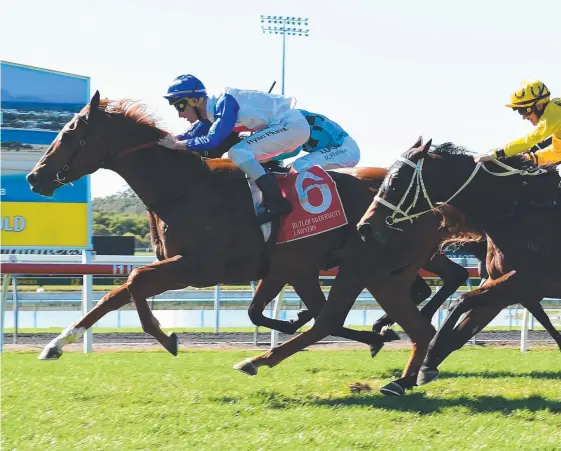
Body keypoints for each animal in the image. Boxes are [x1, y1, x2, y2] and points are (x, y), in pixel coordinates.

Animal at [358, 139, 560, 388]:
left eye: (395, 179)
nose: (365, 226)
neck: (516, 213)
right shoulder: (506, 286)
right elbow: (460, 333)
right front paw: (408, 378)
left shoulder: (528, 282)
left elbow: (459, 303)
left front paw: (422, 364)